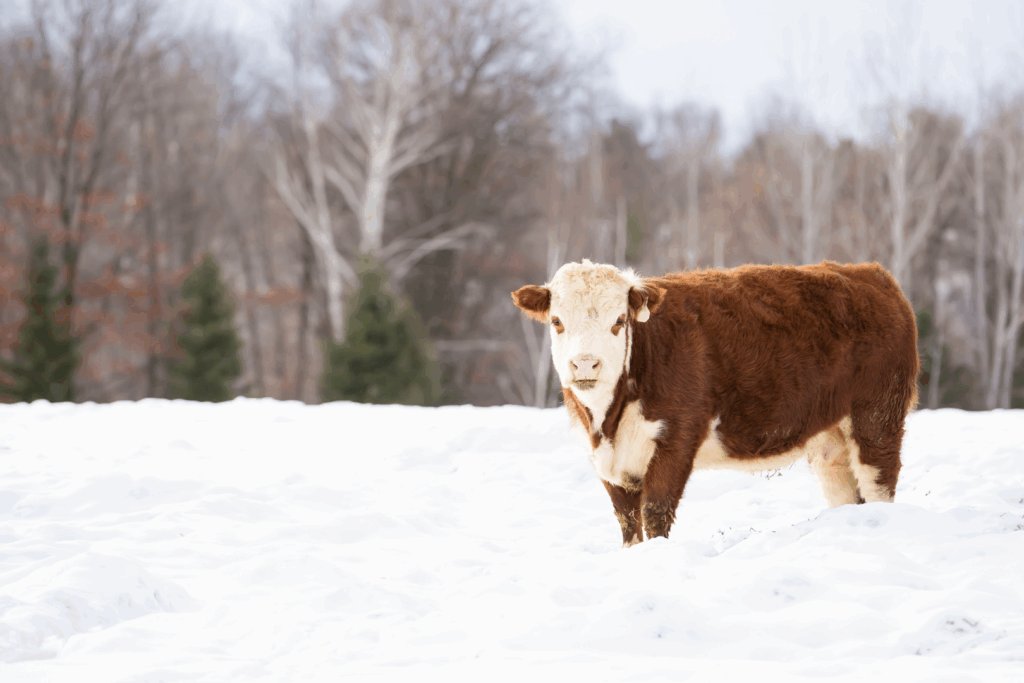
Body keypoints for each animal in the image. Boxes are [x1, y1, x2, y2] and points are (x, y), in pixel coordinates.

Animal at [512, 259, 919, 547]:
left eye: (619, 321)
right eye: (557, 321)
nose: (585, 364)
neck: (606, 422)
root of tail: (871, 274)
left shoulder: (676, 439)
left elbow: (655, 513)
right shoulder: (606, 460)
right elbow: (628, 522)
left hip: (877, 415)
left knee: (879, 481)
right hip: (830, 439)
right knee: (846, 491)